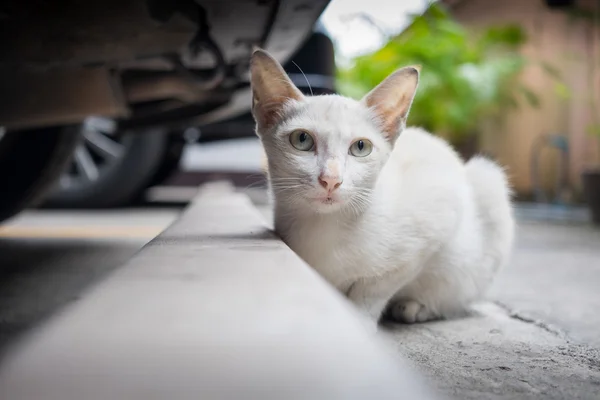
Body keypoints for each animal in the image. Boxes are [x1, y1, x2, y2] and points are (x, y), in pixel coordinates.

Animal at [251, 49, 512, 328]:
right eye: (302, 140)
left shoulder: (432, 226)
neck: (325, 228)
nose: (331, 179)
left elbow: (374, 289)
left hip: (487, 179)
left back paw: (417, 308)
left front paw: (359, 323)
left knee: (459, 295)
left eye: (361, 147)